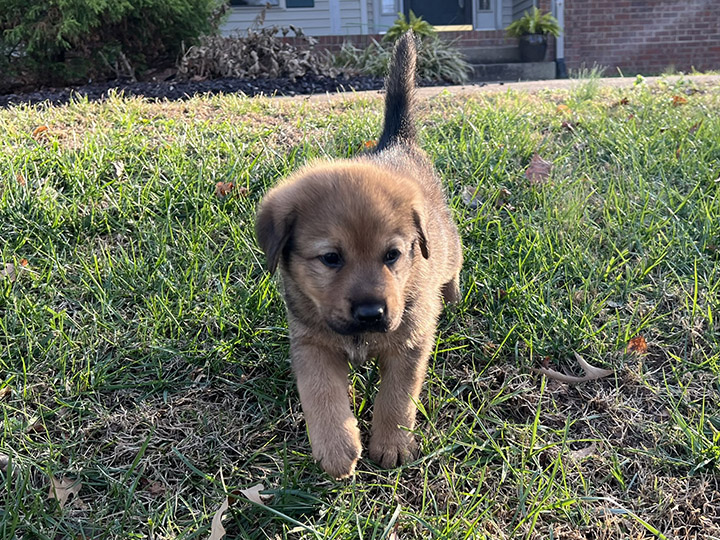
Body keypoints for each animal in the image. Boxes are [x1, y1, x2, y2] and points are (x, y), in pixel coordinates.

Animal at [256, 31, 464, 476]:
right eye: (330, 258)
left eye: (393, 255)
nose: (372, 313)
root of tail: (397, 143)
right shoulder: (312, 345)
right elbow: (321, 394)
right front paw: (336, 447)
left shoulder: (410, 343)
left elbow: (398, 398)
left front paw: (391, 443)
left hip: (448, 246)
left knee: (453, 267)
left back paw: (453, 294)